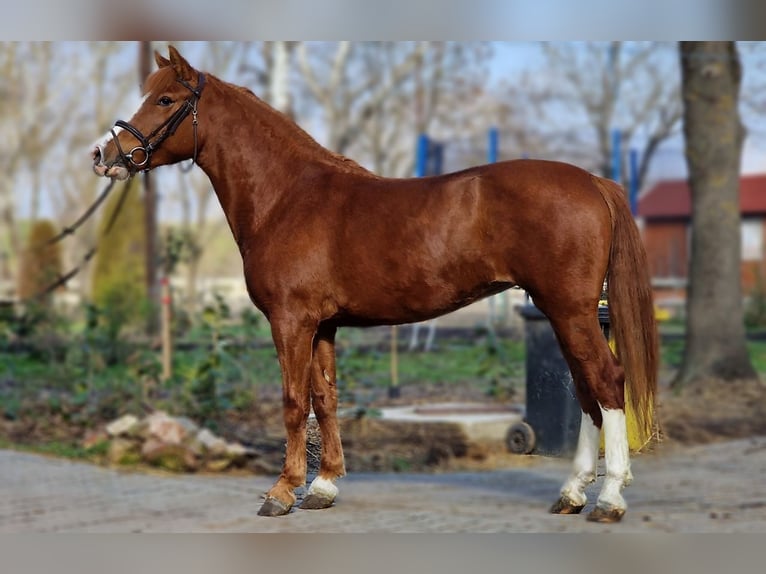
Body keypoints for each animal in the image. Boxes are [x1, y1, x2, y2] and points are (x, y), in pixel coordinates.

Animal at [91, 46, 660, 528]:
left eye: (165, 99)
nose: (104, 155)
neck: (287, 196)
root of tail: (594, 182)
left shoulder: (291, 321)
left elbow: (293, 401)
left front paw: (282, 491)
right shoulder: (322, 325)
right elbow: (325, 398)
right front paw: (322, 487)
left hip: (570, 311)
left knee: (607, 383)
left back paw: (609, 498)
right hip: (565, 314)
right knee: (586, 392)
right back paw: (572, 493)